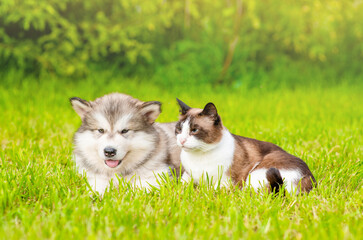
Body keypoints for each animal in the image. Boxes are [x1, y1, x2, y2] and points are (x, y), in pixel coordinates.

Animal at [176, 98, 316, 194]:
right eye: (179, 129)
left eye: (194, 130)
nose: (181, 140)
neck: (199, 155)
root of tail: (312, 183)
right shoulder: (187, 176)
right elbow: (178, 186)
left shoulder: (224, 182)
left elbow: (210, 190)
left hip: (256, 174)